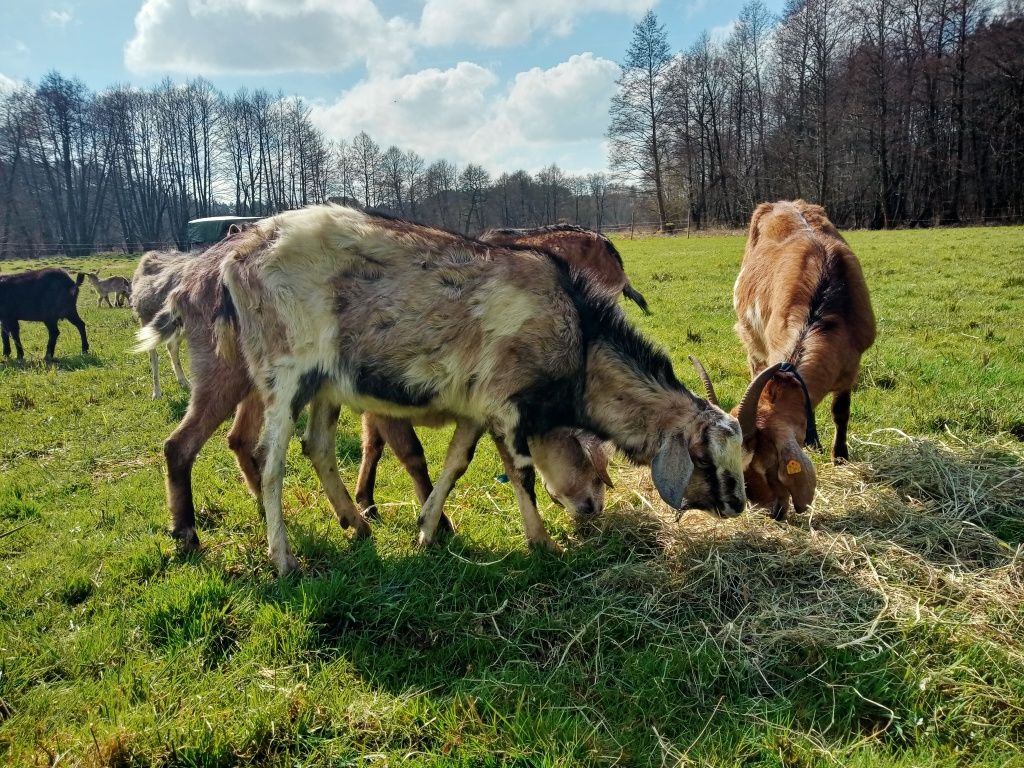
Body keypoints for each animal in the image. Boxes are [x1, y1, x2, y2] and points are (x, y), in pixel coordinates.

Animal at [692, 201, 876, 520]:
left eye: (769, 464)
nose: (769, 510)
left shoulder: (852, 366)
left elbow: (841, 412)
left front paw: (839, 457)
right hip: (751, 340)